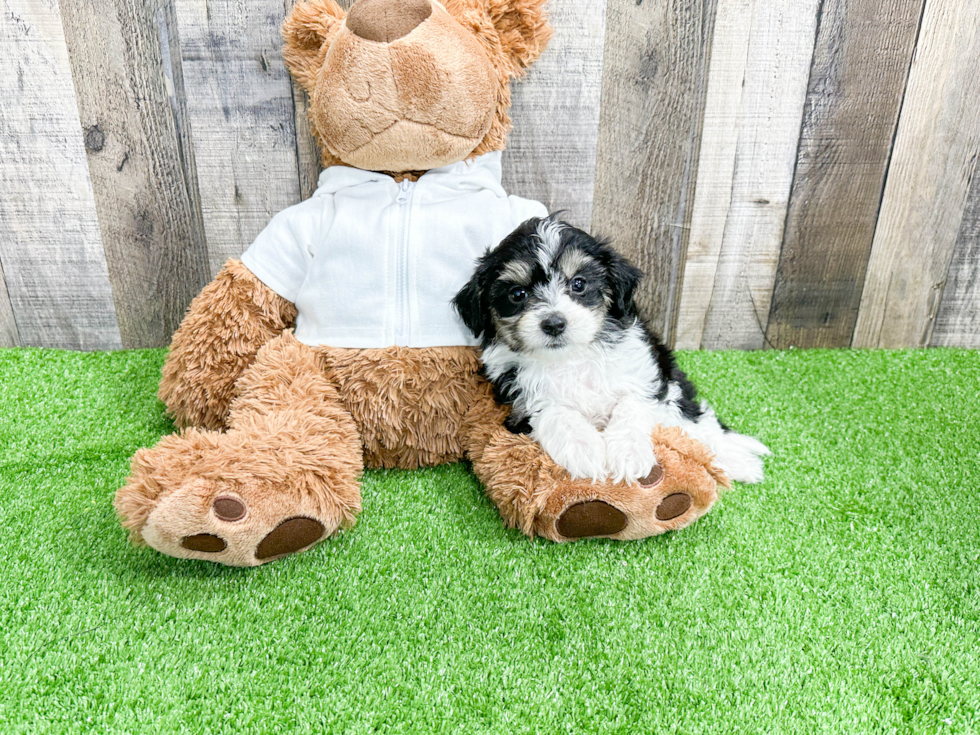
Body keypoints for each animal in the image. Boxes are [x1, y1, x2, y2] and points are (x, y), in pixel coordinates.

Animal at [454, 216, 772, 486]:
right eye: (517, 294)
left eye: (579, 284)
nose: (554, 323)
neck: (570, 359)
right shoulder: (518, 401)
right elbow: (553, 410)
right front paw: (584, 448)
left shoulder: (645, 376)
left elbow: (631, 404)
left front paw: (628, 453)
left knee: (696, 422)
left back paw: (737, 460)